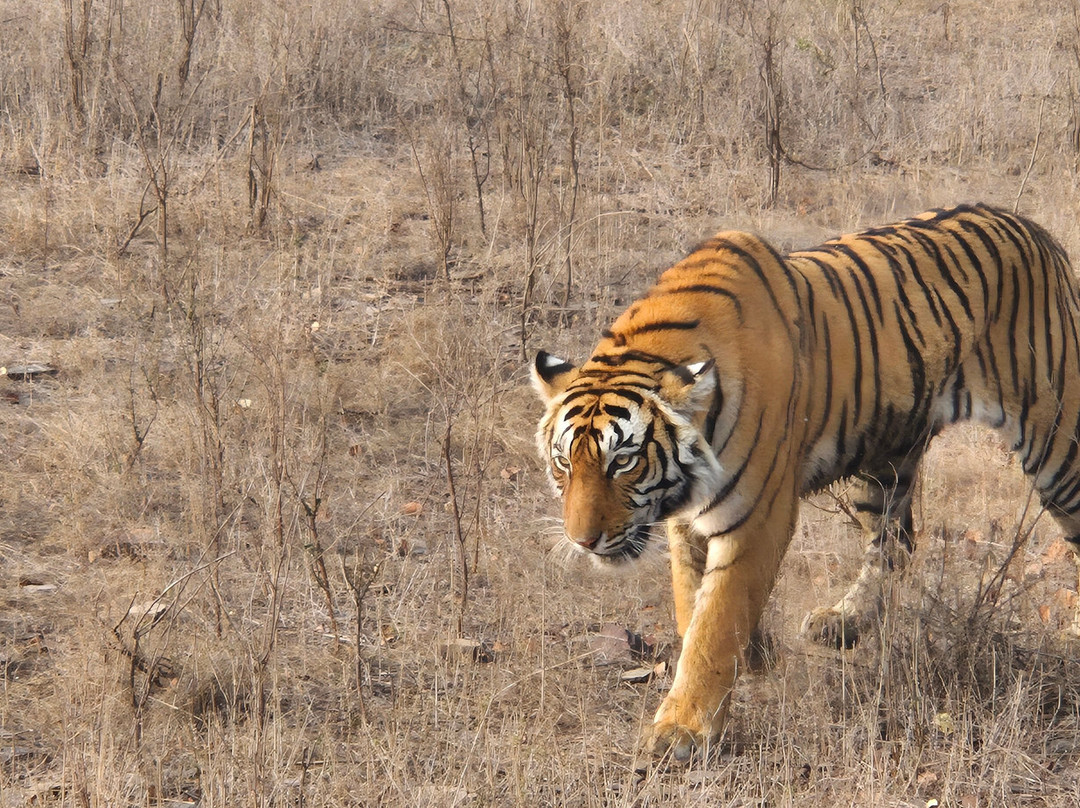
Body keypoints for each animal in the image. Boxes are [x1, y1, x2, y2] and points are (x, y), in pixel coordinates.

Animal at [531, 203, 1080, 761]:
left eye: (623, 461)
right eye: (563, 464)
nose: (582, 541)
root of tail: (1035, 230)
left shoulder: (756, 515)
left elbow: (715, 621)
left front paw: (681, 730)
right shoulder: (685, 520)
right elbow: (692, 605)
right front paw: (749, 658)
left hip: (1057, 442)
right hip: (882, 463)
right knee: (896, 543)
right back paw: (843, 621)